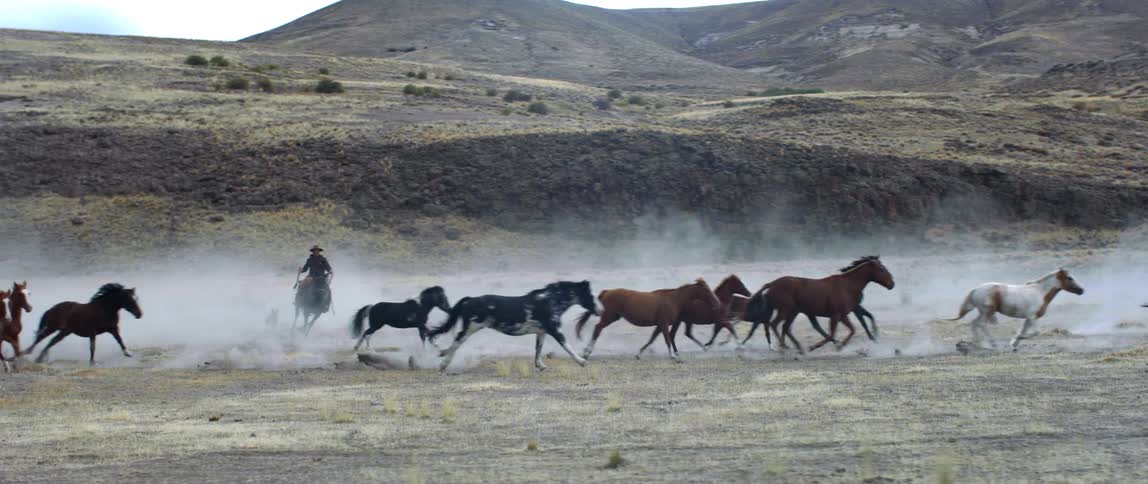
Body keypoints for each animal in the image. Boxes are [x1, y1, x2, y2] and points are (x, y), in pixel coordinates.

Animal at [429, 281, 597, 373]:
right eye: (589, 294)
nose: (598, 310)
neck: (550, 301)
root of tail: (469, 299)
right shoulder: (555, 329)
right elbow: (567, 346)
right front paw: (582, 361)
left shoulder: (541, 332)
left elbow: (538, 349)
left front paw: (540, 366)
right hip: (471, 327)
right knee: (457, 341)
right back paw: (443, 364)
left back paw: (442, 355)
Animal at [575, 279, 723, 362]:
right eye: (706, 290)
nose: (717, 303)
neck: (674, 299)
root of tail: (607, 291)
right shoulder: (664, 323)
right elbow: (667, 339)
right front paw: (673, 357)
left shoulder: (659, 324)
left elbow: (652, 338)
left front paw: (639, 354)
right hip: (609, 316)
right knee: (597, 328)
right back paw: (587, 352)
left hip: (612, 317)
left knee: (598, 328)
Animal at [742, 256, 895, 354]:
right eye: (881, 269)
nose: (892, 284)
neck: (847, 286)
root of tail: (772, 284)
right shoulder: (836, 315)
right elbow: (834, 333)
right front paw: (818, 346)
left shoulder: (842, 315)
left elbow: (851, 330)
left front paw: (840, 345)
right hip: (786, 310)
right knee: (775, 324)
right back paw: (784, 346)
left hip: (792, 311)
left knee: (784, 327)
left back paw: (793, 346)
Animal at [944, 268, 1084, 350]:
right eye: (1069, 278)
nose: (1081, 290)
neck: (1040, 292)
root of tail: (975, 289)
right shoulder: (1033, 317)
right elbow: (1035, 332)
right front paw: (1016, 340)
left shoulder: (1028, 319)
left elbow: (1024, 330)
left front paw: (1014, 345)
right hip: (987, 312)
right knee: (981, 324)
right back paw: (990, 344)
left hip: (984, 312)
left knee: (974, 323)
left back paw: (978, 344)